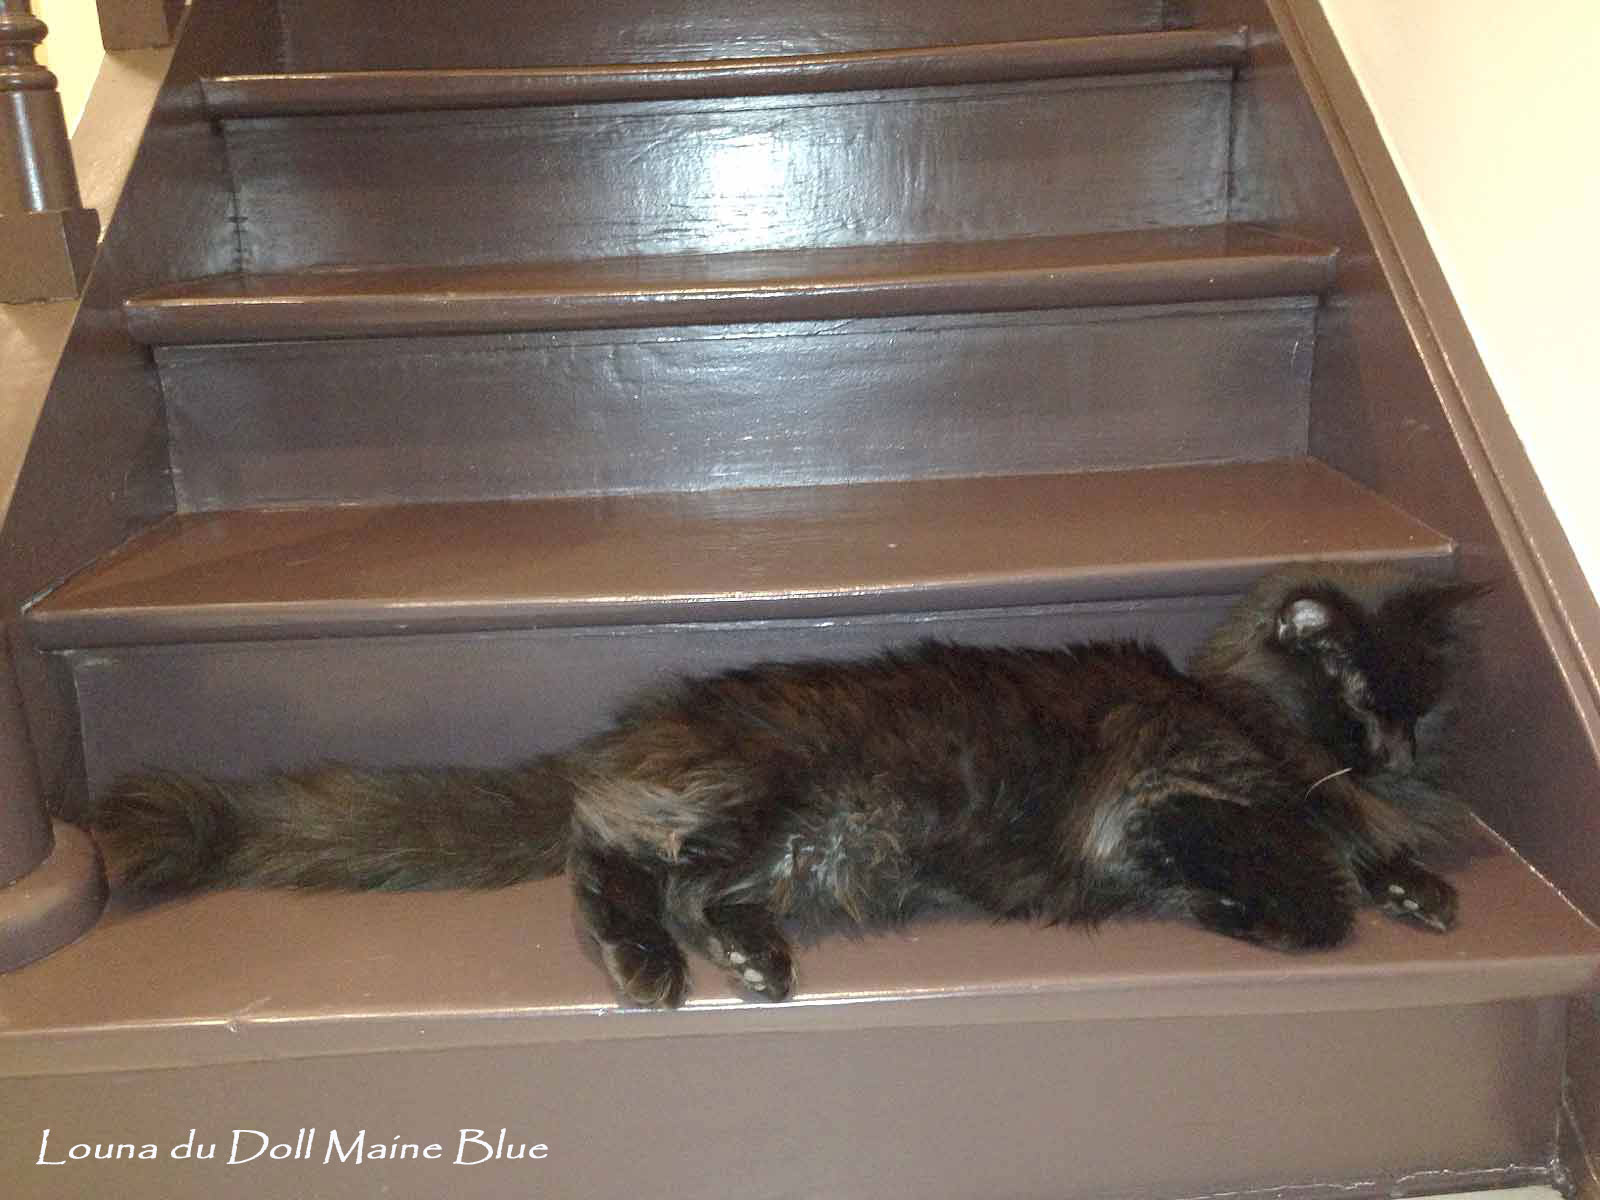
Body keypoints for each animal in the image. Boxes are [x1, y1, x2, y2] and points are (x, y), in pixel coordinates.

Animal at [89, 561, 1484, 1008]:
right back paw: (650, 965)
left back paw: (747, 960)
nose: (1400, 753)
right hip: (764, 798)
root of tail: (637, 724)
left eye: (1421, 713)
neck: (1237, 704)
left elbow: (1343, 848)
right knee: (608, 855)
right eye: (1365, 702)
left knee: (692, 887)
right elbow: (1306, 872)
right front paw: (1295, 900)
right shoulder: (1180, 787)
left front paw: (1408, 875)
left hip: (810, 842)